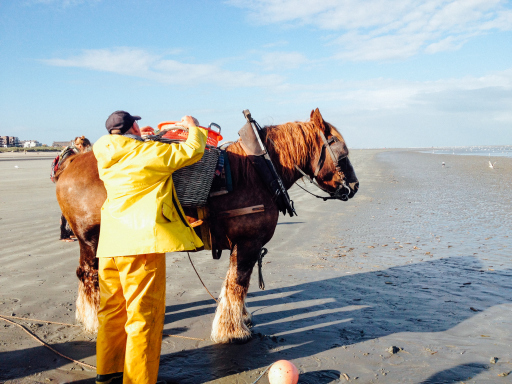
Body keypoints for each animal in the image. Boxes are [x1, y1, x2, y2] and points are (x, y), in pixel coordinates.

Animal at [56, 108, 358, 342]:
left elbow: (234, 285)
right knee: (89, 276)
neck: (260, 171)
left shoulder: (244, 246)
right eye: (342, 151)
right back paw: (94, 321)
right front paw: (232, 330)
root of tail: (70, 164)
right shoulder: (248, 244)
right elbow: (237, 284)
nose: (354, 186)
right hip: (92, 239)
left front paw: (240, 318)